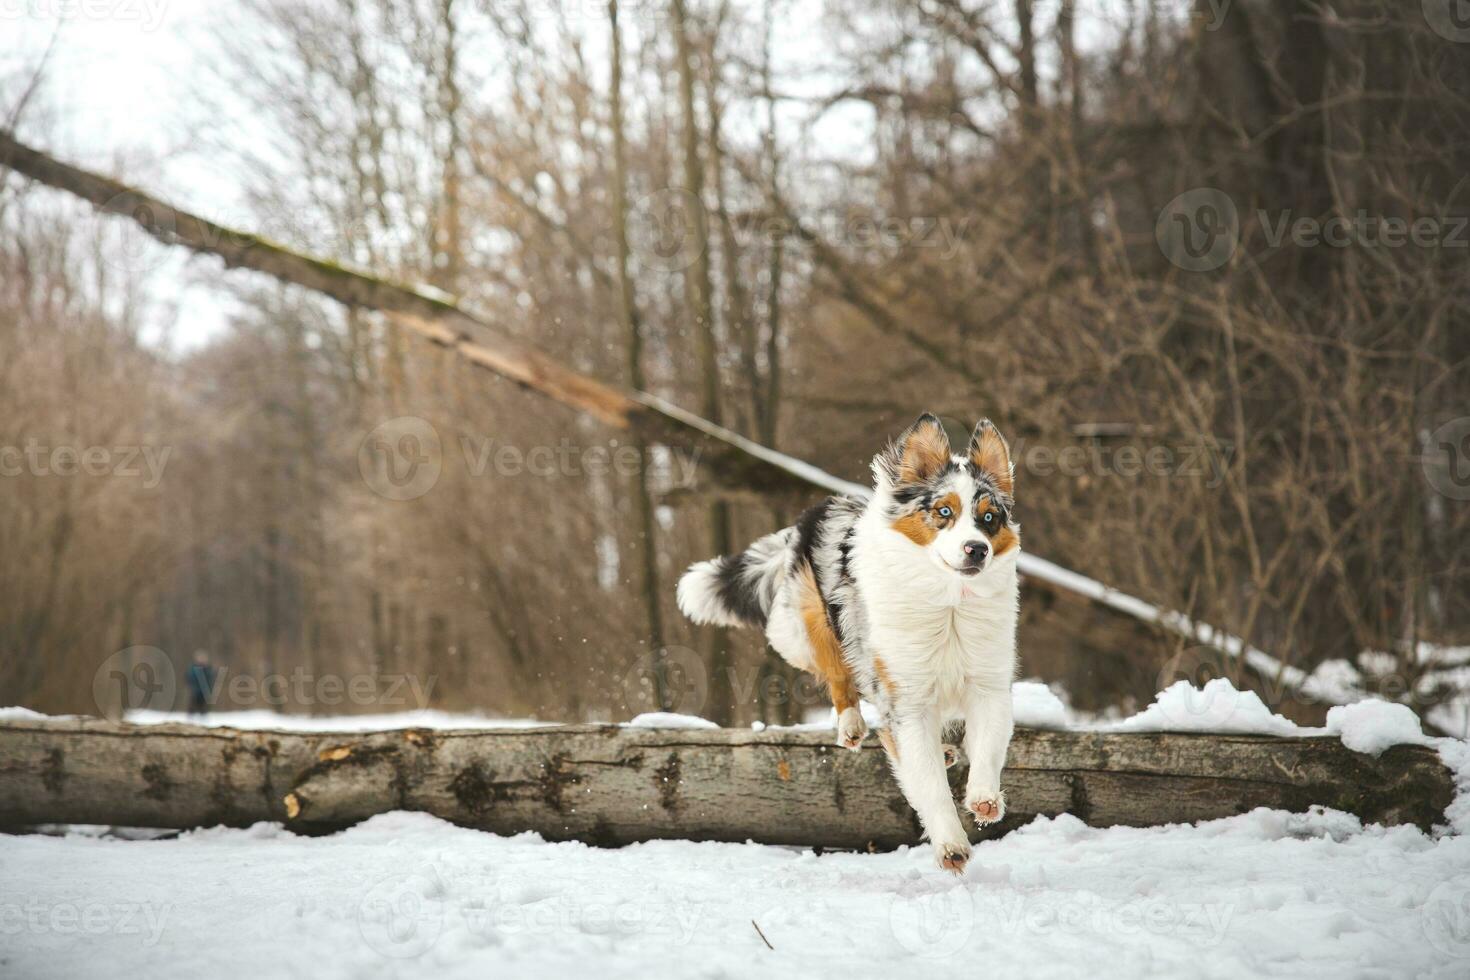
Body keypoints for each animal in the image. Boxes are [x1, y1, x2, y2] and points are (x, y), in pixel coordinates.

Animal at [679, 414, 1017, 875]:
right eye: (944, 512)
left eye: (989, 518)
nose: (977, 550)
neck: (949, 603)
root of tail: (816, 511)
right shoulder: (905, 698)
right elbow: (926, 780)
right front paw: (951, 846)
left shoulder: (987, 684)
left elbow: (988, 747)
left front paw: (984, 798)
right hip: (806, 629)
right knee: (837, 675)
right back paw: (852, 725)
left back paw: (946, 751)